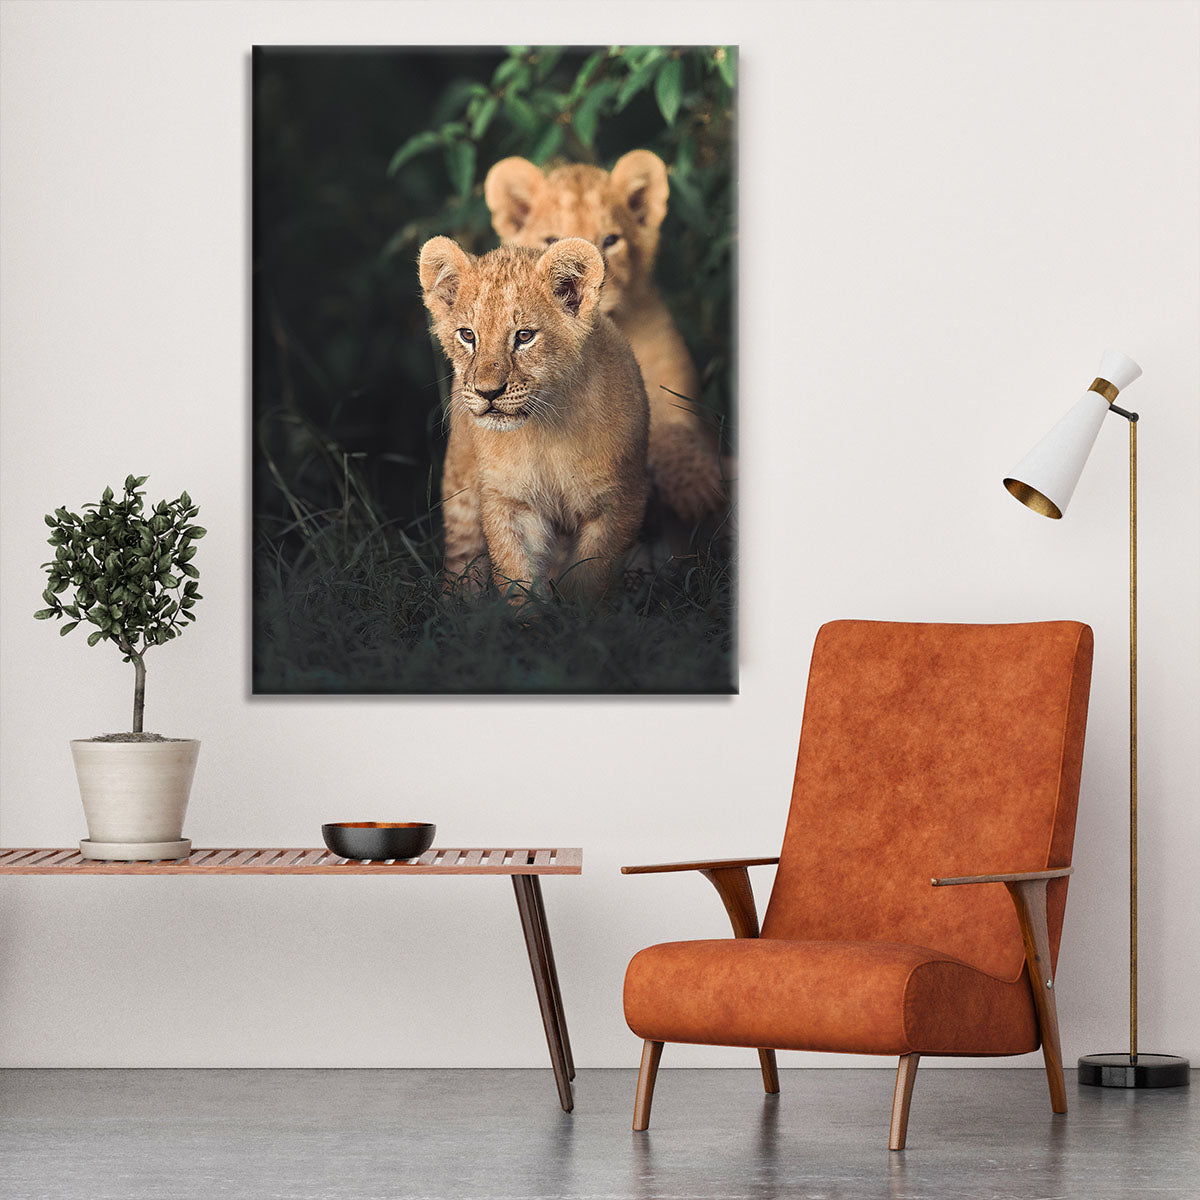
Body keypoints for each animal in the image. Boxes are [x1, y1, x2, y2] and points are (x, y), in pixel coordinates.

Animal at [418, 235, 649, 603]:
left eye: (524, 336)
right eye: (468, 335)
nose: (487, 392)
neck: (546, 431)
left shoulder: (620, 501)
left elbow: (591, 579)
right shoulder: (510, 501)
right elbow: (518, 578)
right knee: (463, 559)